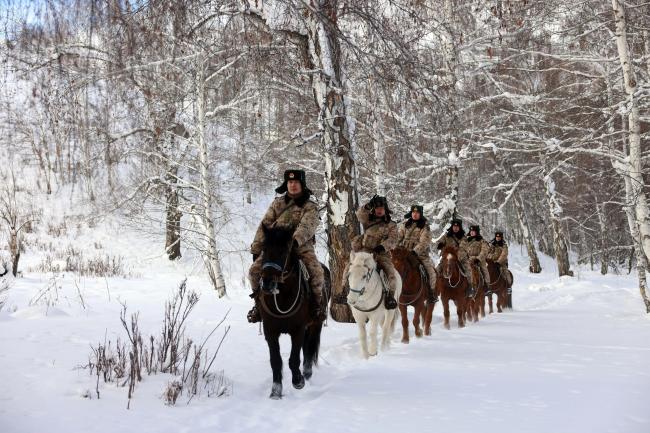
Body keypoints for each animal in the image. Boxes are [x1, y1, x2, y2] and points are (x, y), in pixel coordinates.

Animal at [253, 226, 324, 398]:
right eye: (264, 249)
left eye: (284, 251)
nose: (267, 283)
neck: (282, 296)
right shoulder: (270, 331)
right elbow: (275, 360)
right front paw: (276, 391)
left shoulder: (297, 330)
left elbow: (293, 358)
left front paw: (298, 381)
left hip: (315, 324)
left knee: (309, 348)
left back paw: (307, 373)